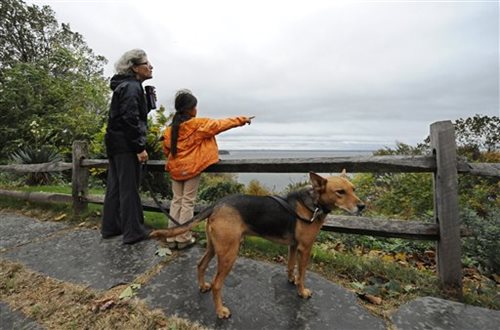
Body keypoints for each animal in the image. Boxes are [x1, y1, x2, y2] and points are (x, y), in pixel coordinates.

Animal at [148, 171, 364, 318]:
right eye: (340, 192)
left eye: (354, 189)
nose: (362, 206)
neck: (313, 203)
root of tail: (217, 204)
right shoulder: (305, 248)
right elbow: (302, 273)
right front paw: (301, 291)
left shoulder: (293, 247)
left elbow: (290, 266)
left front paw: (291, 280)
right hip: (229, 253)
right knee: (218, 284)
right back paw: (221, 311)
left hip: (214, 247)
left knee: (200, 265)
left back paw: (202, 286)